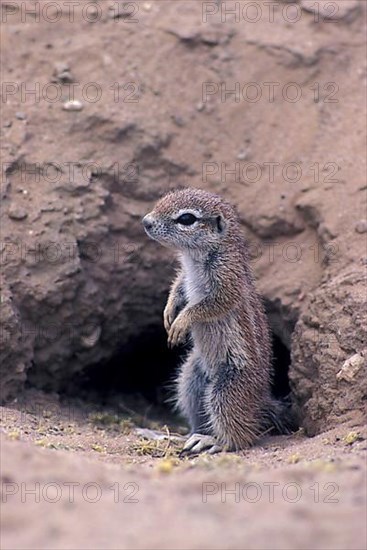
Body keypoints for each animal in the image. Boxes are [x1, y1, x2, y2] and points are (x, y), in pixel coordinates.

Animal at [142, 188, 292, 454]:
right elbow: (178, 286)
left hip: (227, 389)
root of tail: (262, 399)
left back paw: (214, 441)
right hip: (190, 379)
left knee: (242, 434)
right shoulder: (185, 275)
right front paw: (169, 311)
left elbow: (210, 306)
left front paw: (182, 321)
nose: (145, 221)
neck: (195, 257)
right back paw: (185, 435)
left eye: (187, 219)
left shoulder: (227, 280)